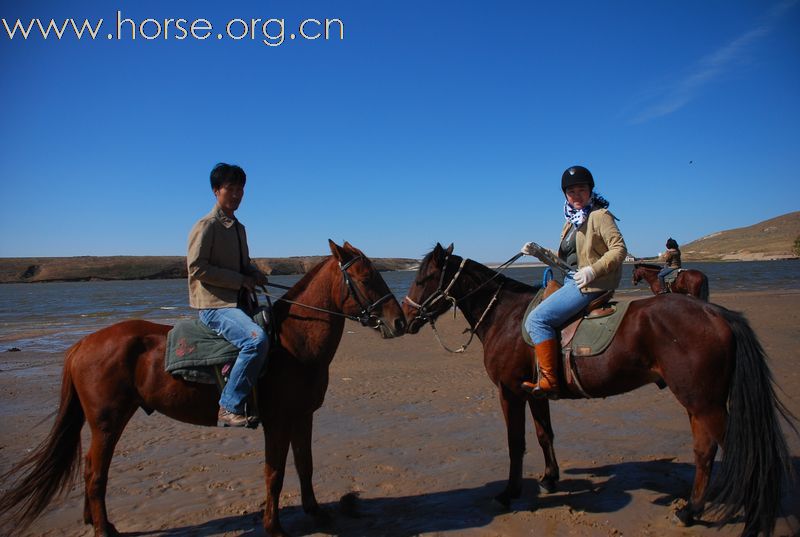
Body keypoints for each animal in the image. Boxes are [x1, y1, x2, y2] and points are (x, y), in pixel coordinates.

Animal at [1, 242, 406, 536]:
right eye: (366, 277)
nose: (400, 321)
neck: (293, 342)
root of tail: (82, 344)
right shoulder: (277, 422)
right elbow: (274, 473)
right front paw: (274, 527)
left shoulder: (302, 417)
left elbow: (304, 465)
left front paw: (317, 513)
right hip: (107, 421)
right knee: (95, 472)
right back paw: (103, 529)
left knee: (89, 467)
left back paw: (94, 520)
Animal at [406, 244, 792, 536]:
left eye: (423, 278)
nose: (404, 320)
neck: (507, 316)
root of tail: (716, 314)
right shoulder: (535, 392)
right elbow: (544, 435)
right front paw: (550, 479)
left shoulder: (510, 392)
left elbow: (516, 443)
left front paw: (509, 492)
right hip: (698, 402)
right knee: (704, 452)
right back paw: (690, 511)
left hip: (705, 403)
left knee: (740, 450)